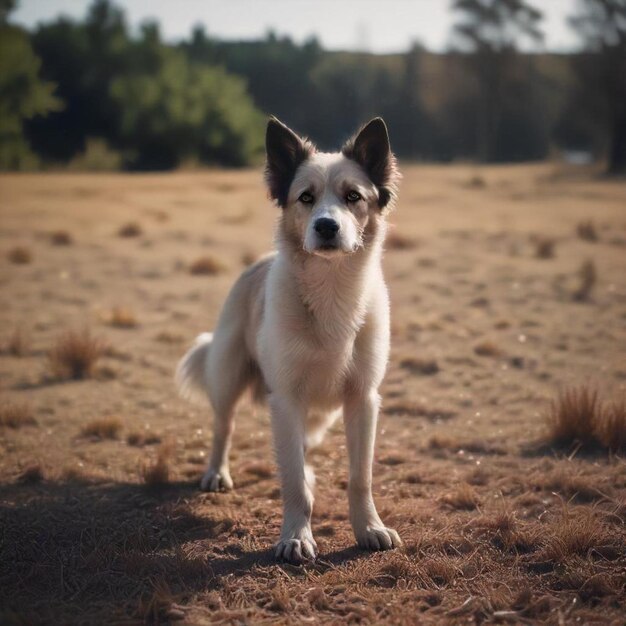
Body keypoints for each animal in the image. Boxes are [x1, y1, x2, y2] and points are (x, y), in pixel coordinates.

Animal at [176, 114, 400, 564]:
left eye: (353, 197)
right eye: (305, 198)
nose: (326, 226)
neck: (331, 291)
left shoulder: (362, 399)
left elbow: (360, 477)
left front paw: (369, 528)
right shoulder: (286, 398)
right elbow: (292, 480)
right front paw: (296, 536)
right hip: (228, 377)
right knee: (223, 427)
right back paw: (216, 473)